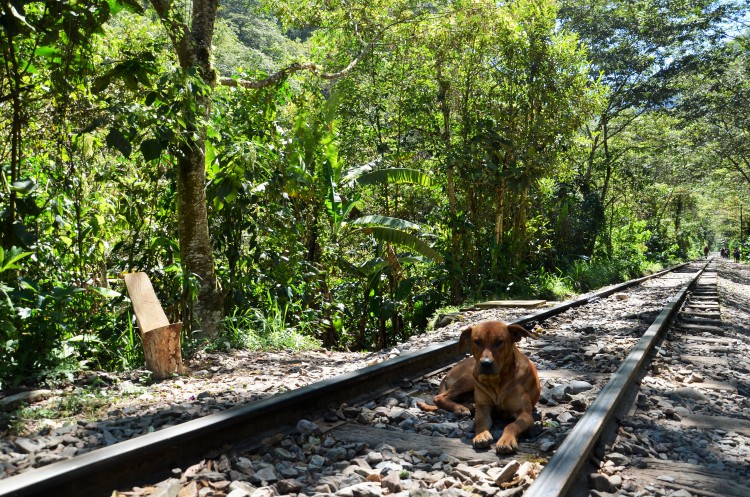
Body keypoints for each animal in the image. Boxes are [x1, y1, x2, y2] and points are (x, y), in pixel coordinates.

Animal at [424, 320, 540, 452]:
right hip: (469, 378)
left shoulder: (525, 414)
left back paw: (467, 406)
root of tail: (449, 372)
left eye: (499, 342)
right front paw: (481, 435)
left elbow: (512, 425)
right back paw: (461, 408)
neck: (497, 382)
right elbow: (480, 423)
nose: (486, 363)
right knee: (439, 397)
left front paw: (506, 440)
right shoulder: (483, 409)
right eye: (477, 341)